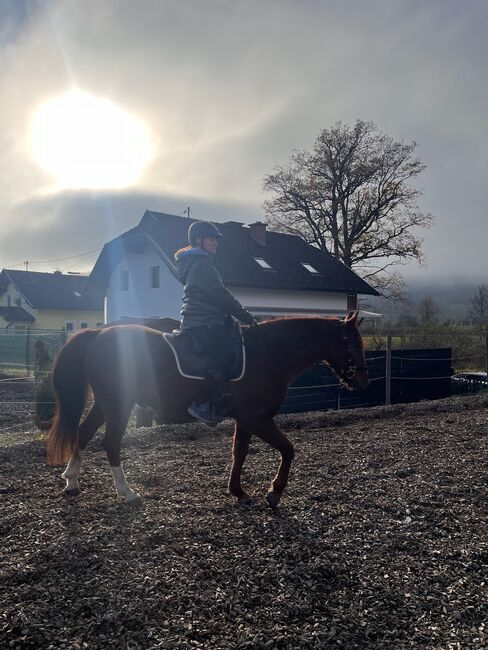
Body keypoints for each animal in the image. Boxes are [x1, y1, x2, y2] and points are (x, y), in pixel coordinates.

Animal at [47, 310, 368, 506]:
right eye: (354, 344)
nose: (362, 380)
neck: (268, 354)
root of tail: (98, 335)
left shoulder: (246, 419)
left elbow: (240, 452)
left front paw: (238, 491)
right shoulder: (258, 418)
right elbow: (288, 449)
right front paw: (275, 491)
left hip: (105, 404)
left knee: (83, 433)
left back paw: (71, 481)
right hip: (118, 405)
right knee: (110, 443)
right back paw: (127, 493)